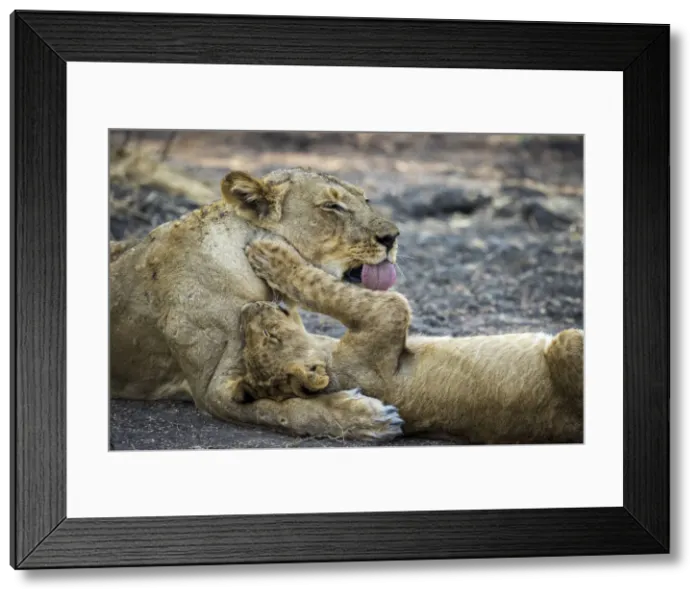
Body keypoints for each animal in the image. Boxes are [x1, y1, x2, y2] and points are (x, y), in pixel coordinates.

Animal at [109, 167, 405, 441]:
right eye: (332, 207)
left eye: (365, 199)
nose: (392, 237)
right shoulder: (211, 389)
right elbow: (284, 410)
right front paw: (368, 418)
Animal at [240, 237, 584, 444]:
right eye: (270, 335)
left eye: (253, 342)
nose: (246, 310)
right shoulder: (388, 312)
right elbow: (322, 286)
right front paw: (269, 252)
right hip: (566, 343)